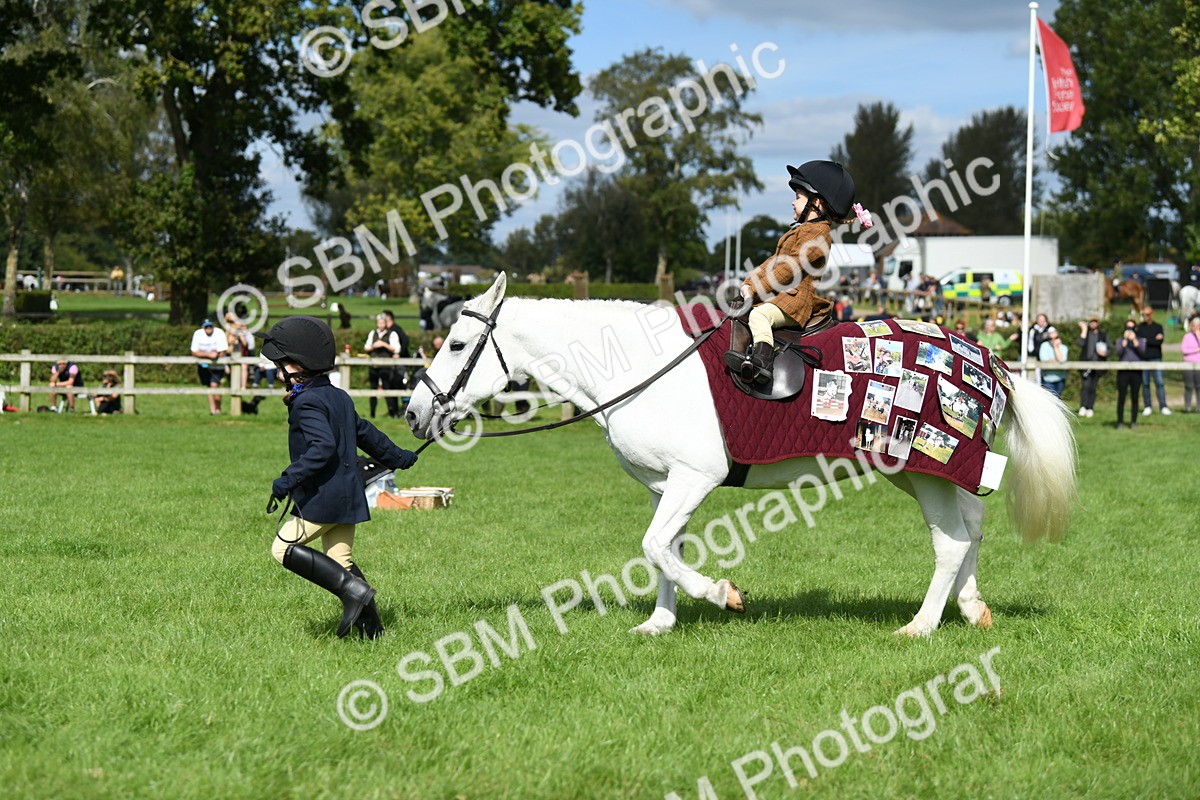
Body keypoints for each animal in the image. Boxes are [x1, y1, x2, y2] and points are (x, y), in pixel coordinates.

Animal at [405, 273, 1076, 637]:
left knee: (952, 543)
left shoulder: (695, 477)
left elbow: (655, 545)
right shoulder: (666, 486)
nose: (413, 413)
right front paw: (661, 622)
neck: (642, 366)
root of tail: (986, 357)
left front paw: (722, 595)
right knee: (974, 528)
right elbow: (663, 548)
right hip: (927, 474)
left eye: (457, 343)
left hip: (929, 473)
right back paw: (972, 607)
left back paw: (921, 624)